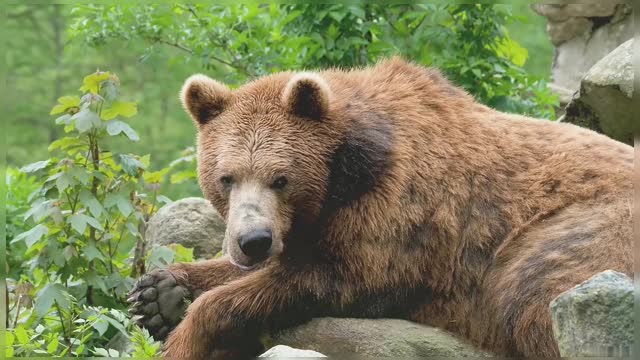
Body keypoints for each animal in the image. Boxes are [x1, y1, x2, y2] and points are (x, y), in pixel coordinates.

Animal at [127, 56, 632, 358]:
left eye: (280, 178)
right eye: (225, 177)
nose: (253, 240)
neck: (346, 173)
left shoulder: (399, 213)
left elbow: (328, 275)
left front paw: (187, 332)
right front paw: (159, 292)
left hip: (573, 234)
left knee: (536, 297)